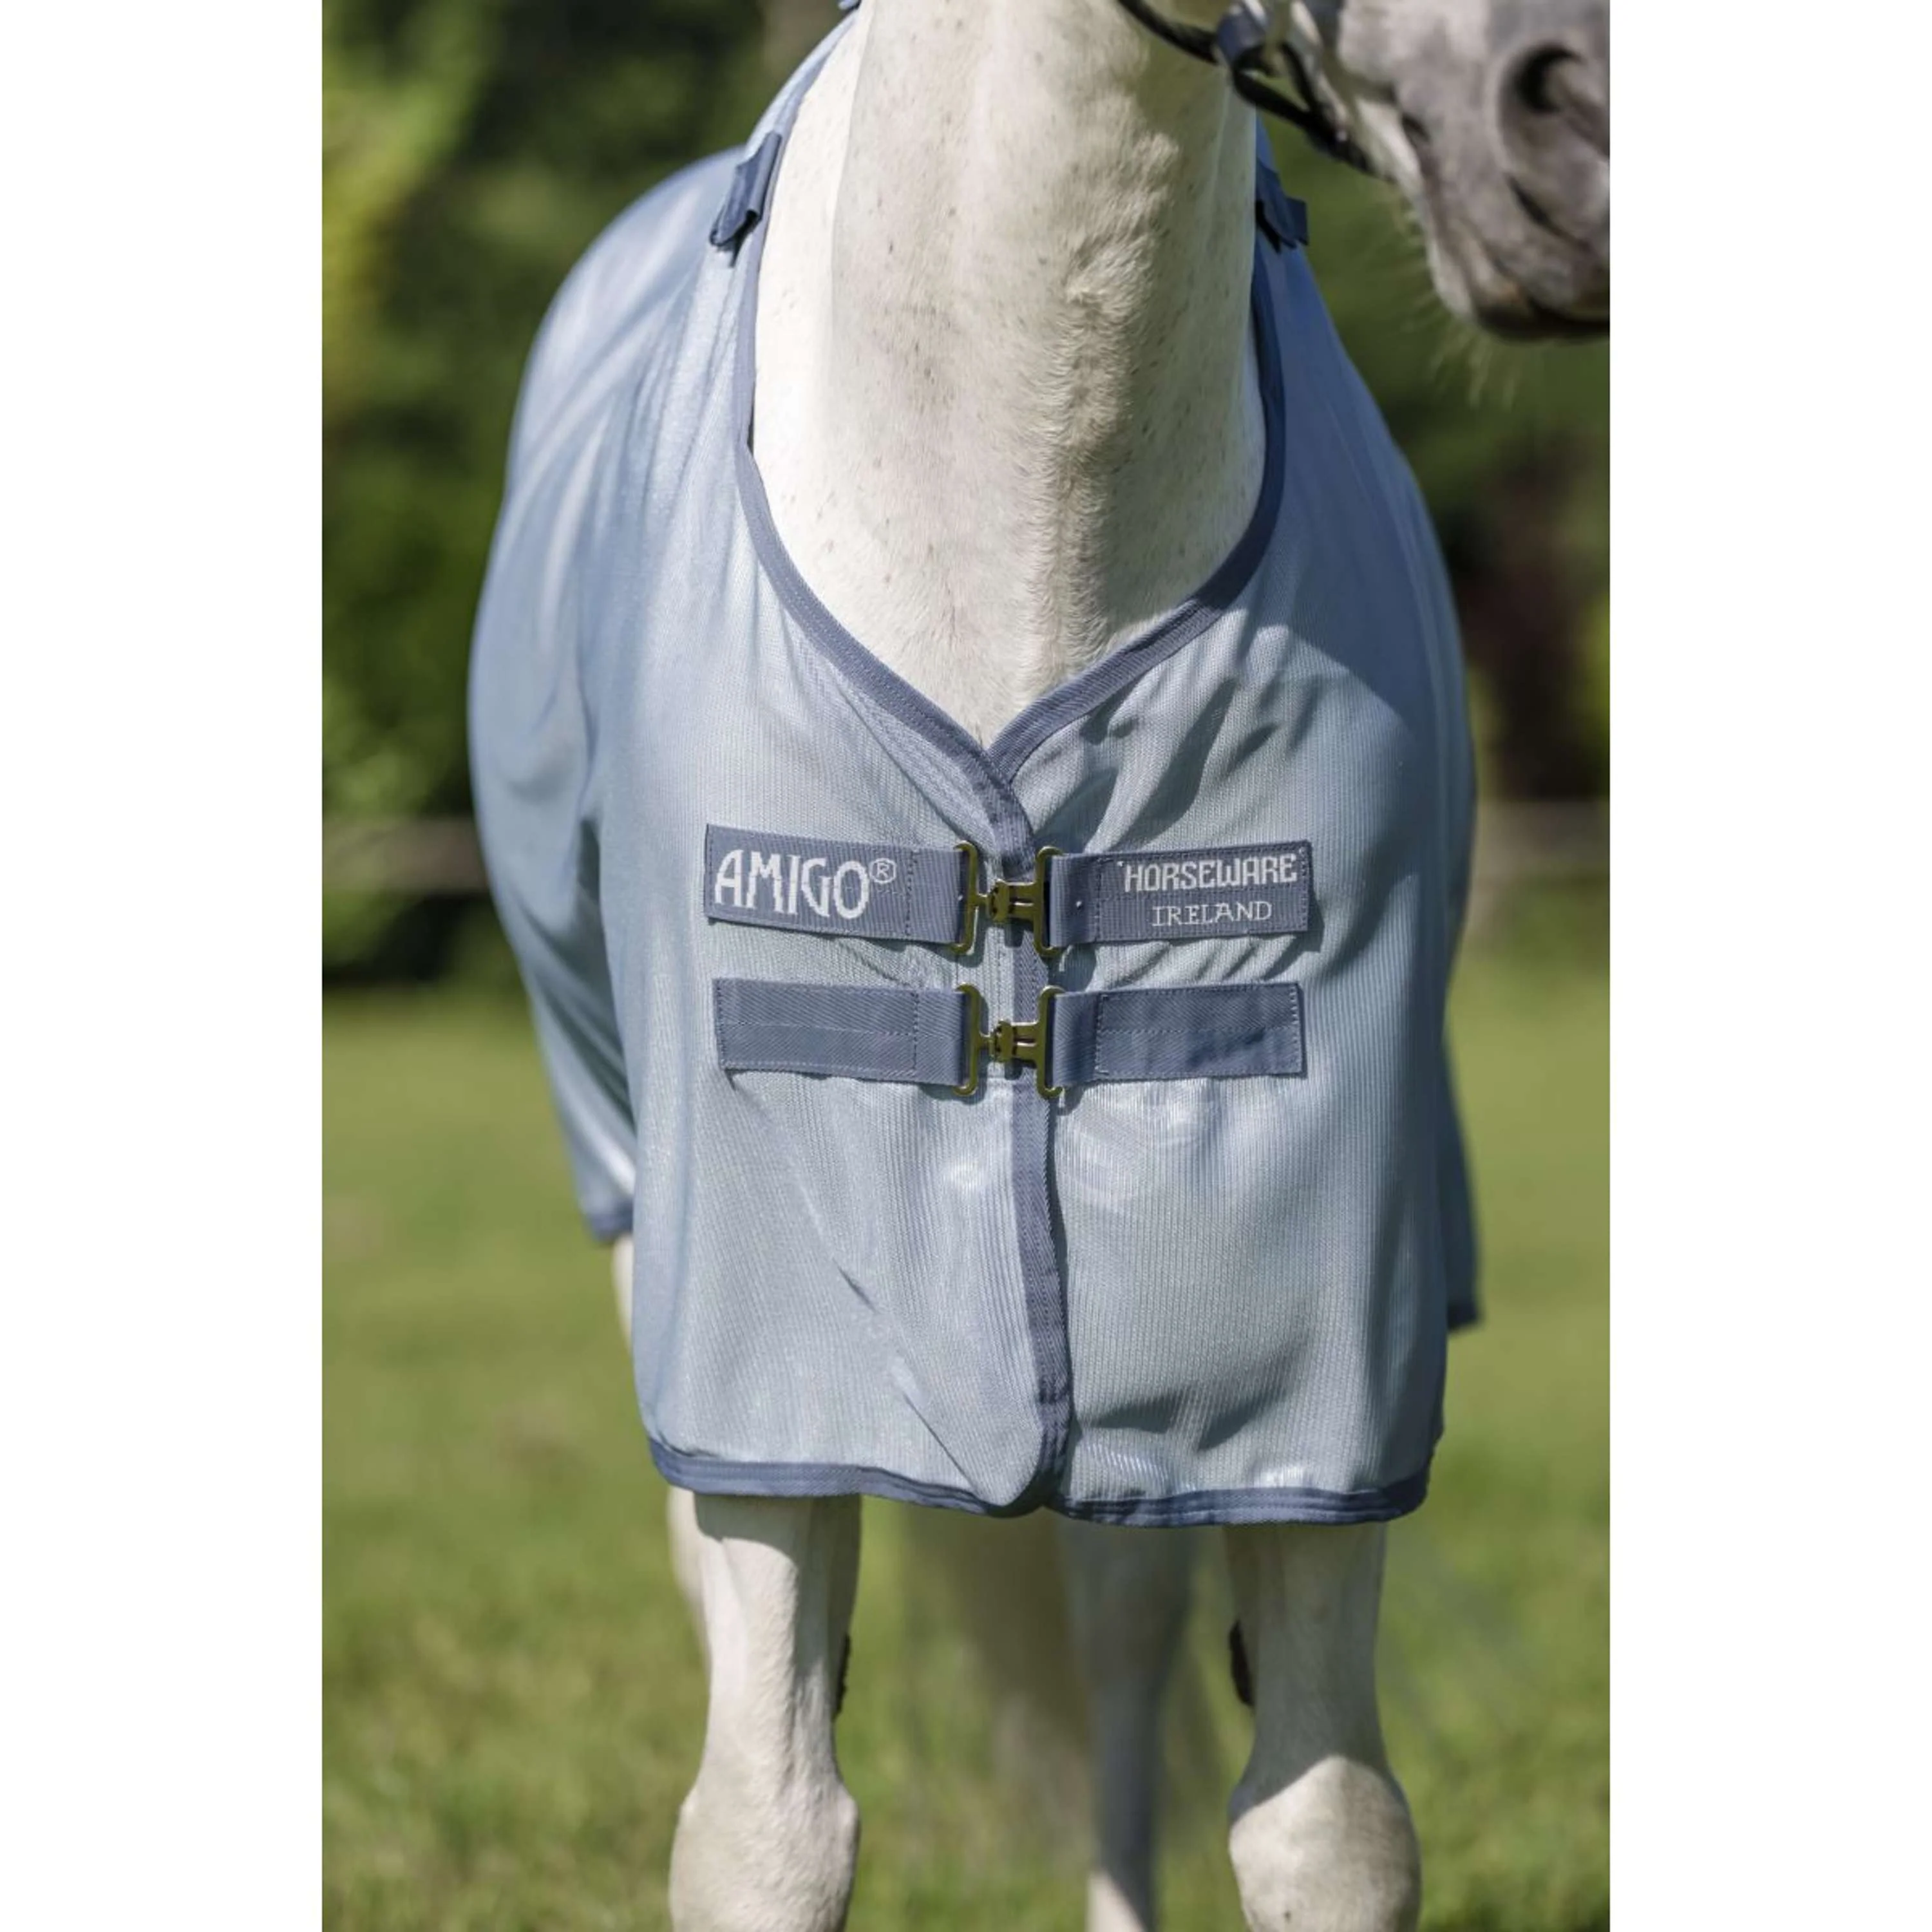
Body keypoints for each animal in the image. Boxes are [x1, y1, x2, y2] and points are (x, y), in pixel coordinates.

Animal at [470, 4, 1608, 1928]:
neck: (1022, 499)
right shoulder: (768, 1330)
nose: (1571, 120)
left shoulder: (1314, 1322)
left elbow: (1325, 1826)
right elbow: (767, 1826)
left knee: (1121, 1636)